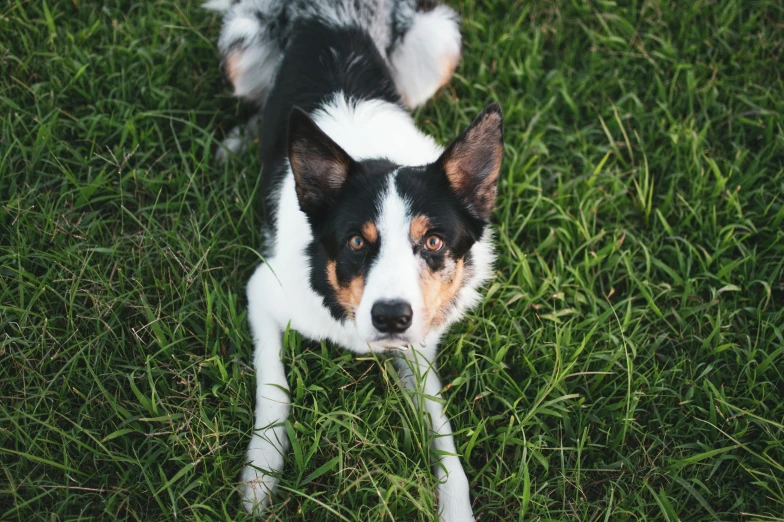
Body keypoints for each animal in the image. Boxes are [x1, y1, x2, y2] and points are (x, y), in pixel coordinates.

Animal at [205, 2, 506, 516]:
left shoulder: (418, 352)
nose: (391, 318)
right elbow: (274, 387)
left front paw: (456, 509)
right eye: (356, 243)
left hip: (438, 44)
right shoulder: (262, 290)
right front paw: (261, 476)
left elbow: (445, 440)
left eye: (433, 243)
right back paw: (238, 142)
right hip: (242, 44)